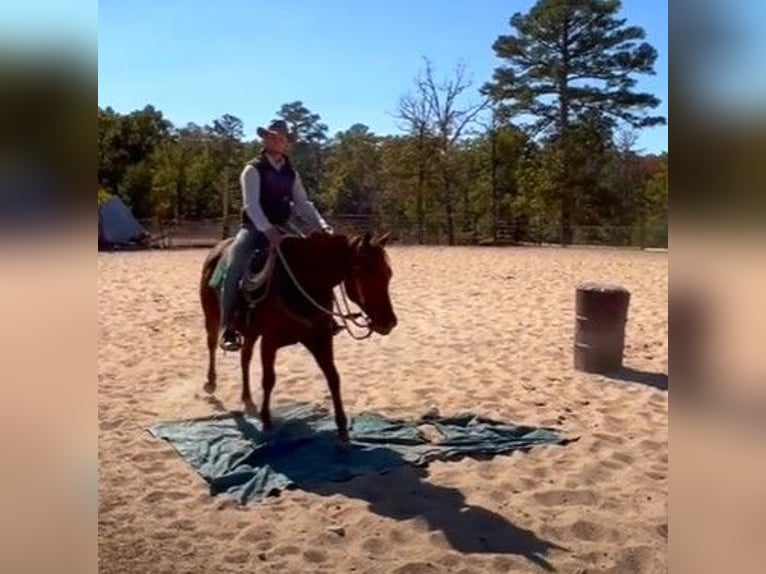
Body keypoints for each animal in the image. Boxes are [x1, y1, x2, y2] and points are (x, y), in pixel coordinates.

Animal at [200, 232, 396, 444]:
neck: (302, 282)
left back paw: (247, 398)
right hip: (212, 317)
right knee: (212, 345)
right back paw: (211, 383)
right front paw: (266, 420)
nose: (389, 322)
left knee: (245, 358)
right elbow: (269, 379)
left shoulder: (320, 339)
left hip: (251, 332)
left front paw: (343, 429)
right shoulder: (269, 342)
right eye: (367, 272)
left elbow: (333, 377)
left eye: (388, 274)